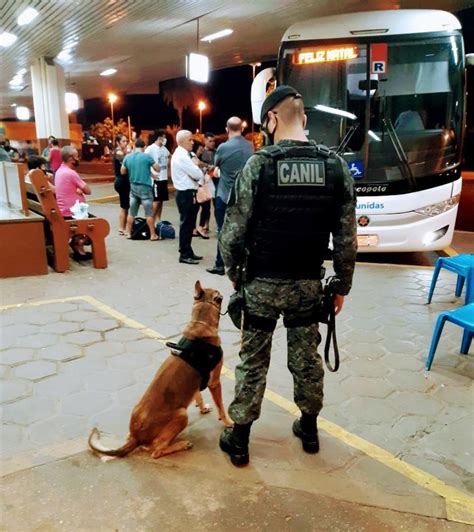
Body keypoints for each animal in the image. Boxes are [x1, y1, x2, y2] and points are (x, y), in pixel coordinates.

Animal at [88, 280, 232, 460]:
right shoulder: (214, 382)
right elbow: (221, 407)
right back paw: (181, 444)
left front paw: (203, 407)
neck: (200, 323)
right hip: (181, 415)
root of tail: (136, 437)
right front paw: (229, 422)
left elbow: (197, 395)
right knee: (157, 450)